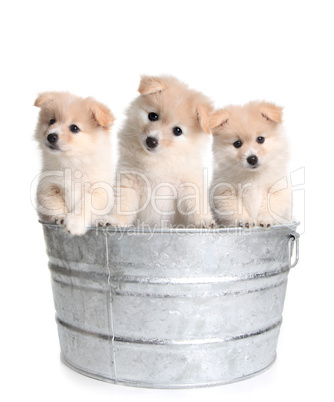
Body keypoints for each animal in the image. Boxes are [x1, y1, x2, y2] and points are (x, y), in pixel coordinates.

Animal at [34, 92, 115, 236]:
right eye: (52, 121)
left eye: (74, 128)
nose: (51, 136)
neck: (71, 164)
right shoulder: (48, 187)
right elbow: (54, 204)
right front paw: (60, 218)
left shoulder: (99, 191)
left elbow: (85, 205)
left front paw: (75, 223)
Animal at [110, 74, 214, 228]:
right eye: (153, 116)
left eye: (177, 131)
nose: (151, 141)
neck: (159, 159)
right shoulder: (129, 180)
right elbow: (122, 205)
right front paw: (114, 221)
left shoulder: (188, 185)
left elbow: (196, 204)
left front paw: (204, 221)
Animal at [211, 101, 292, 229]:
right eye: (237, 143)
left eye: (260, 139)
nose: (252, 159)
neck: (253, 175)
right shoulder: (225, 192)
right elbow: (236, 208)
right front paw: (246, 220)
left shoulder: (277, 188)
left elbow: (270, 206)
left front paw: (265, 219)